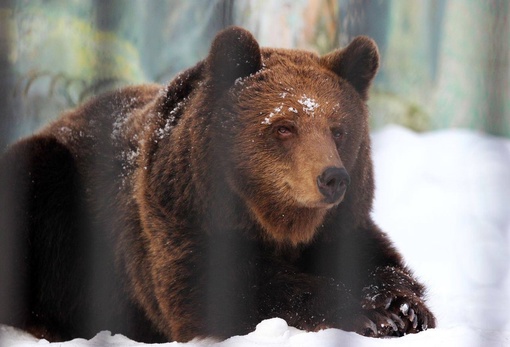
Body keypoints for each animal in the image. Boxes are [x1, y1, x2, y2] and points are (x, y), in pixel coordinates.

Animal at [0, 26, 436, 342]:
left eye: (339, 130)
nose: (332, 178)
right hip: (56, 190)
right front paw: (368, 313)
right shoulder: (175, 222)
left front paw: (404, 307)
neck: (271, 222)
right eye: (283, 127)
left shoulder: (341, 226)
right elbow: (223, 290)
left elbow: (382, 263)